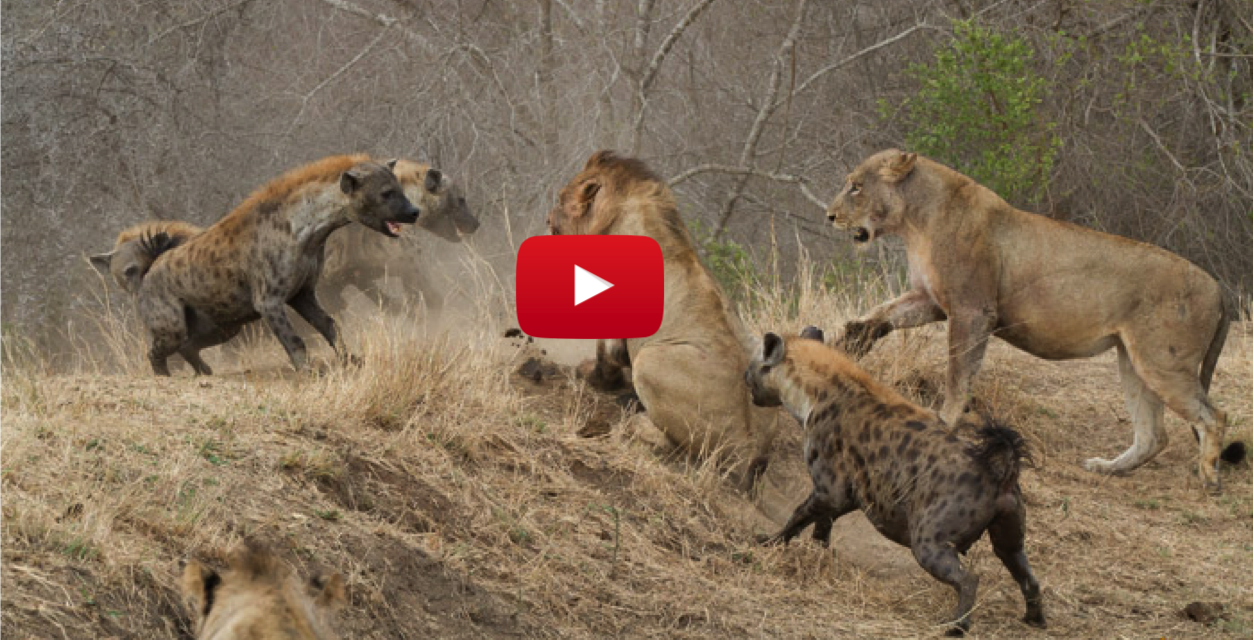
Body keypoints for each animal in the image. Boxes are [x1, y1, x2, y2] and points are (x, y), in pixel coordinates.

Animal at [547, 150, 778, 490]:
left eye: (562, 197)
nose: (547, 218)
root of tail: (748, 448)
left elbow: (605, 358)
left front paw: (591, 375)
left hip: (652, 360)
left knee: (671, 443)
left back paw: (635, 414)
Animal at [827, 149, 1234, 491]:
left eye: (856, 186)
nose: (829, 216)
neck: (915, 220)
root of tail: (1218, 287)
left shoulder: (972, 309)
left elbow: (959, 373)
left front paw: (945, 421)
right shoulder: (932, 299)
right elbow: (885, 312)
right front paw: (852, 338)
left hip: (1163, 361)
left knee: (1215, 416)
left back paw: (1208, 477)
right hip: (1133, 360)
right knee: (1153, 435)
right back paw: (1107, 468)